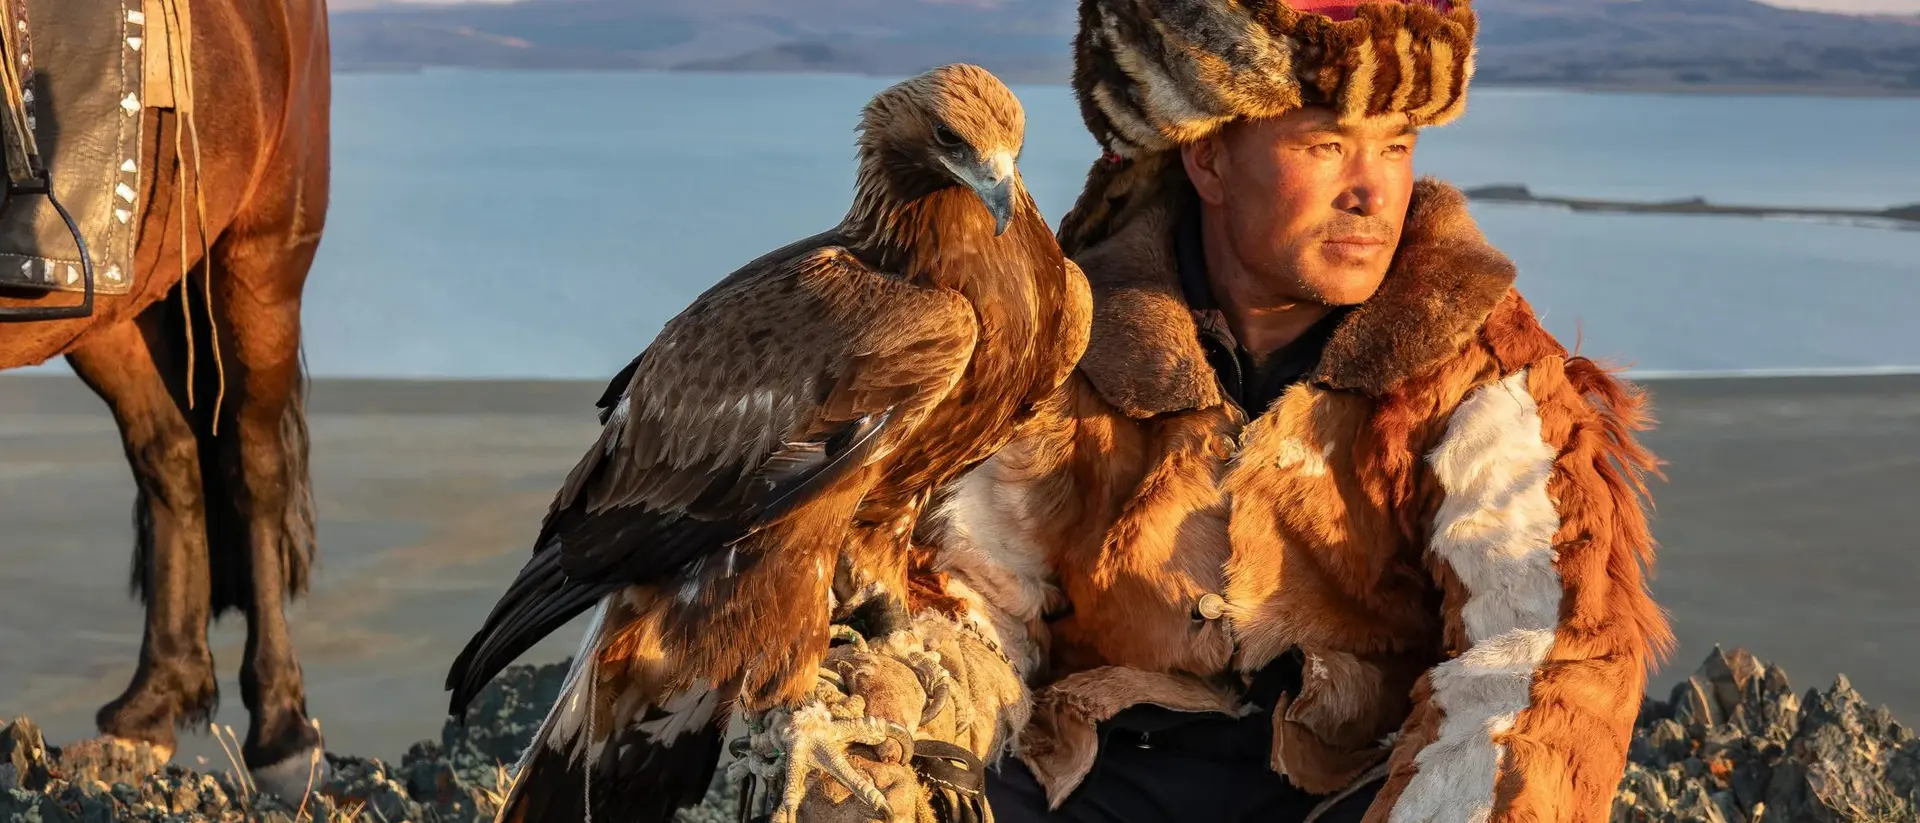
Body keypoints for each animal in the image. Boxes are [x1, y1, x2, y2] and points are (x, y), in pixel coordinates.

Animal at [0, 0, 333, 798]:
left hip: (261, 267)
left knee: (254, 471)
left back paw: (283, 731)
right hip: (113, 309)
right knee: (171, 456)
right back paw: (153, 702)